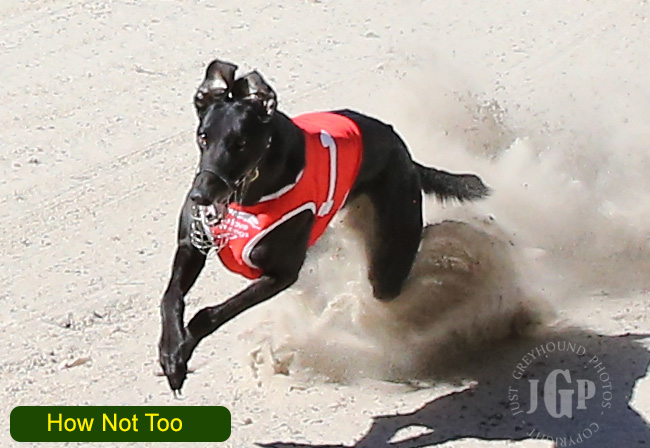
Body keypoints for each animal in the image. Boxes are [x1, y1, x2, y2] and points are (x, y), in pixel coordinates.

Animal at [158, 58, 491, 392]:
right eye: (203, 137)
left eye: (240, 143)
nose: (200, 196)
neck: (250, 198)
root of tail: (404, 153)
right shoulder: (192, 247)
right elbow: (171, 297)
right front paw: (171, 352)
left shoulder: (282, 274)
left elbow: (208, 314)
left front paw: (182, 352)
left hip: (389, 259)